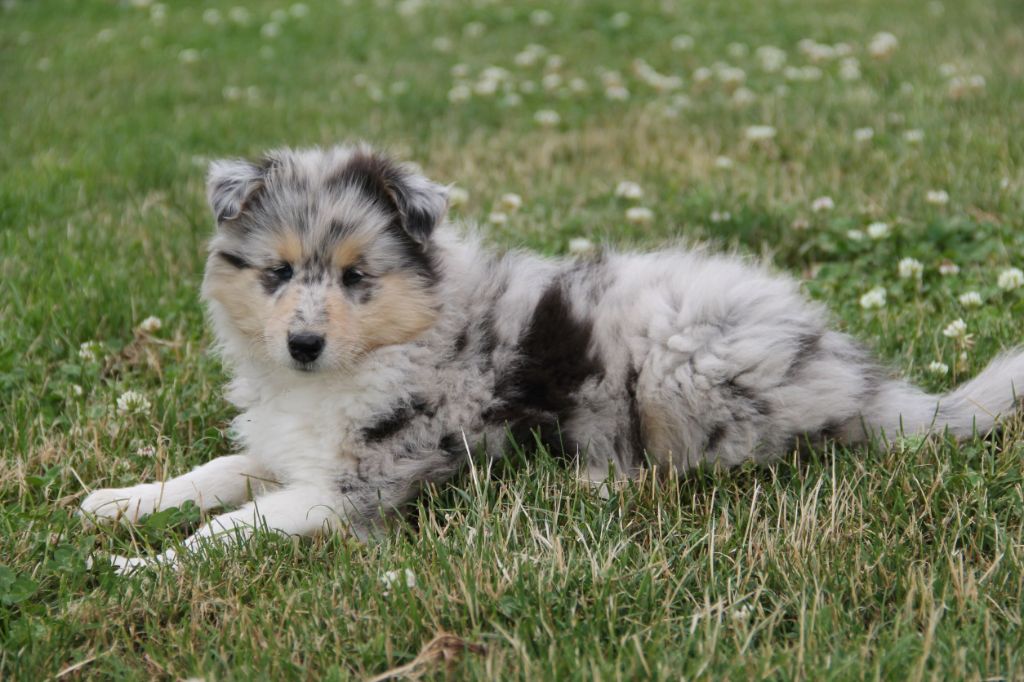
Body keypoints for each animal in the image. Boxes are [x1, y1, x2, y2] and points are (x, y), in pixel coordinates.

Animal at [79, 146, 1024, 569]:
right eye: (276, 273)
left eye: (356, 277)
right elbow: (213, 474)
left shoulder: (355, 490)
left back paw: (589, 481)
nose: (302, 344)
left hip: (680, 367)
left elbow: (230, 527)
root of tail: (856, 376)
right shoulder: (292, 451)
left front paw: (140, 567)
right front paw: (118, 504)